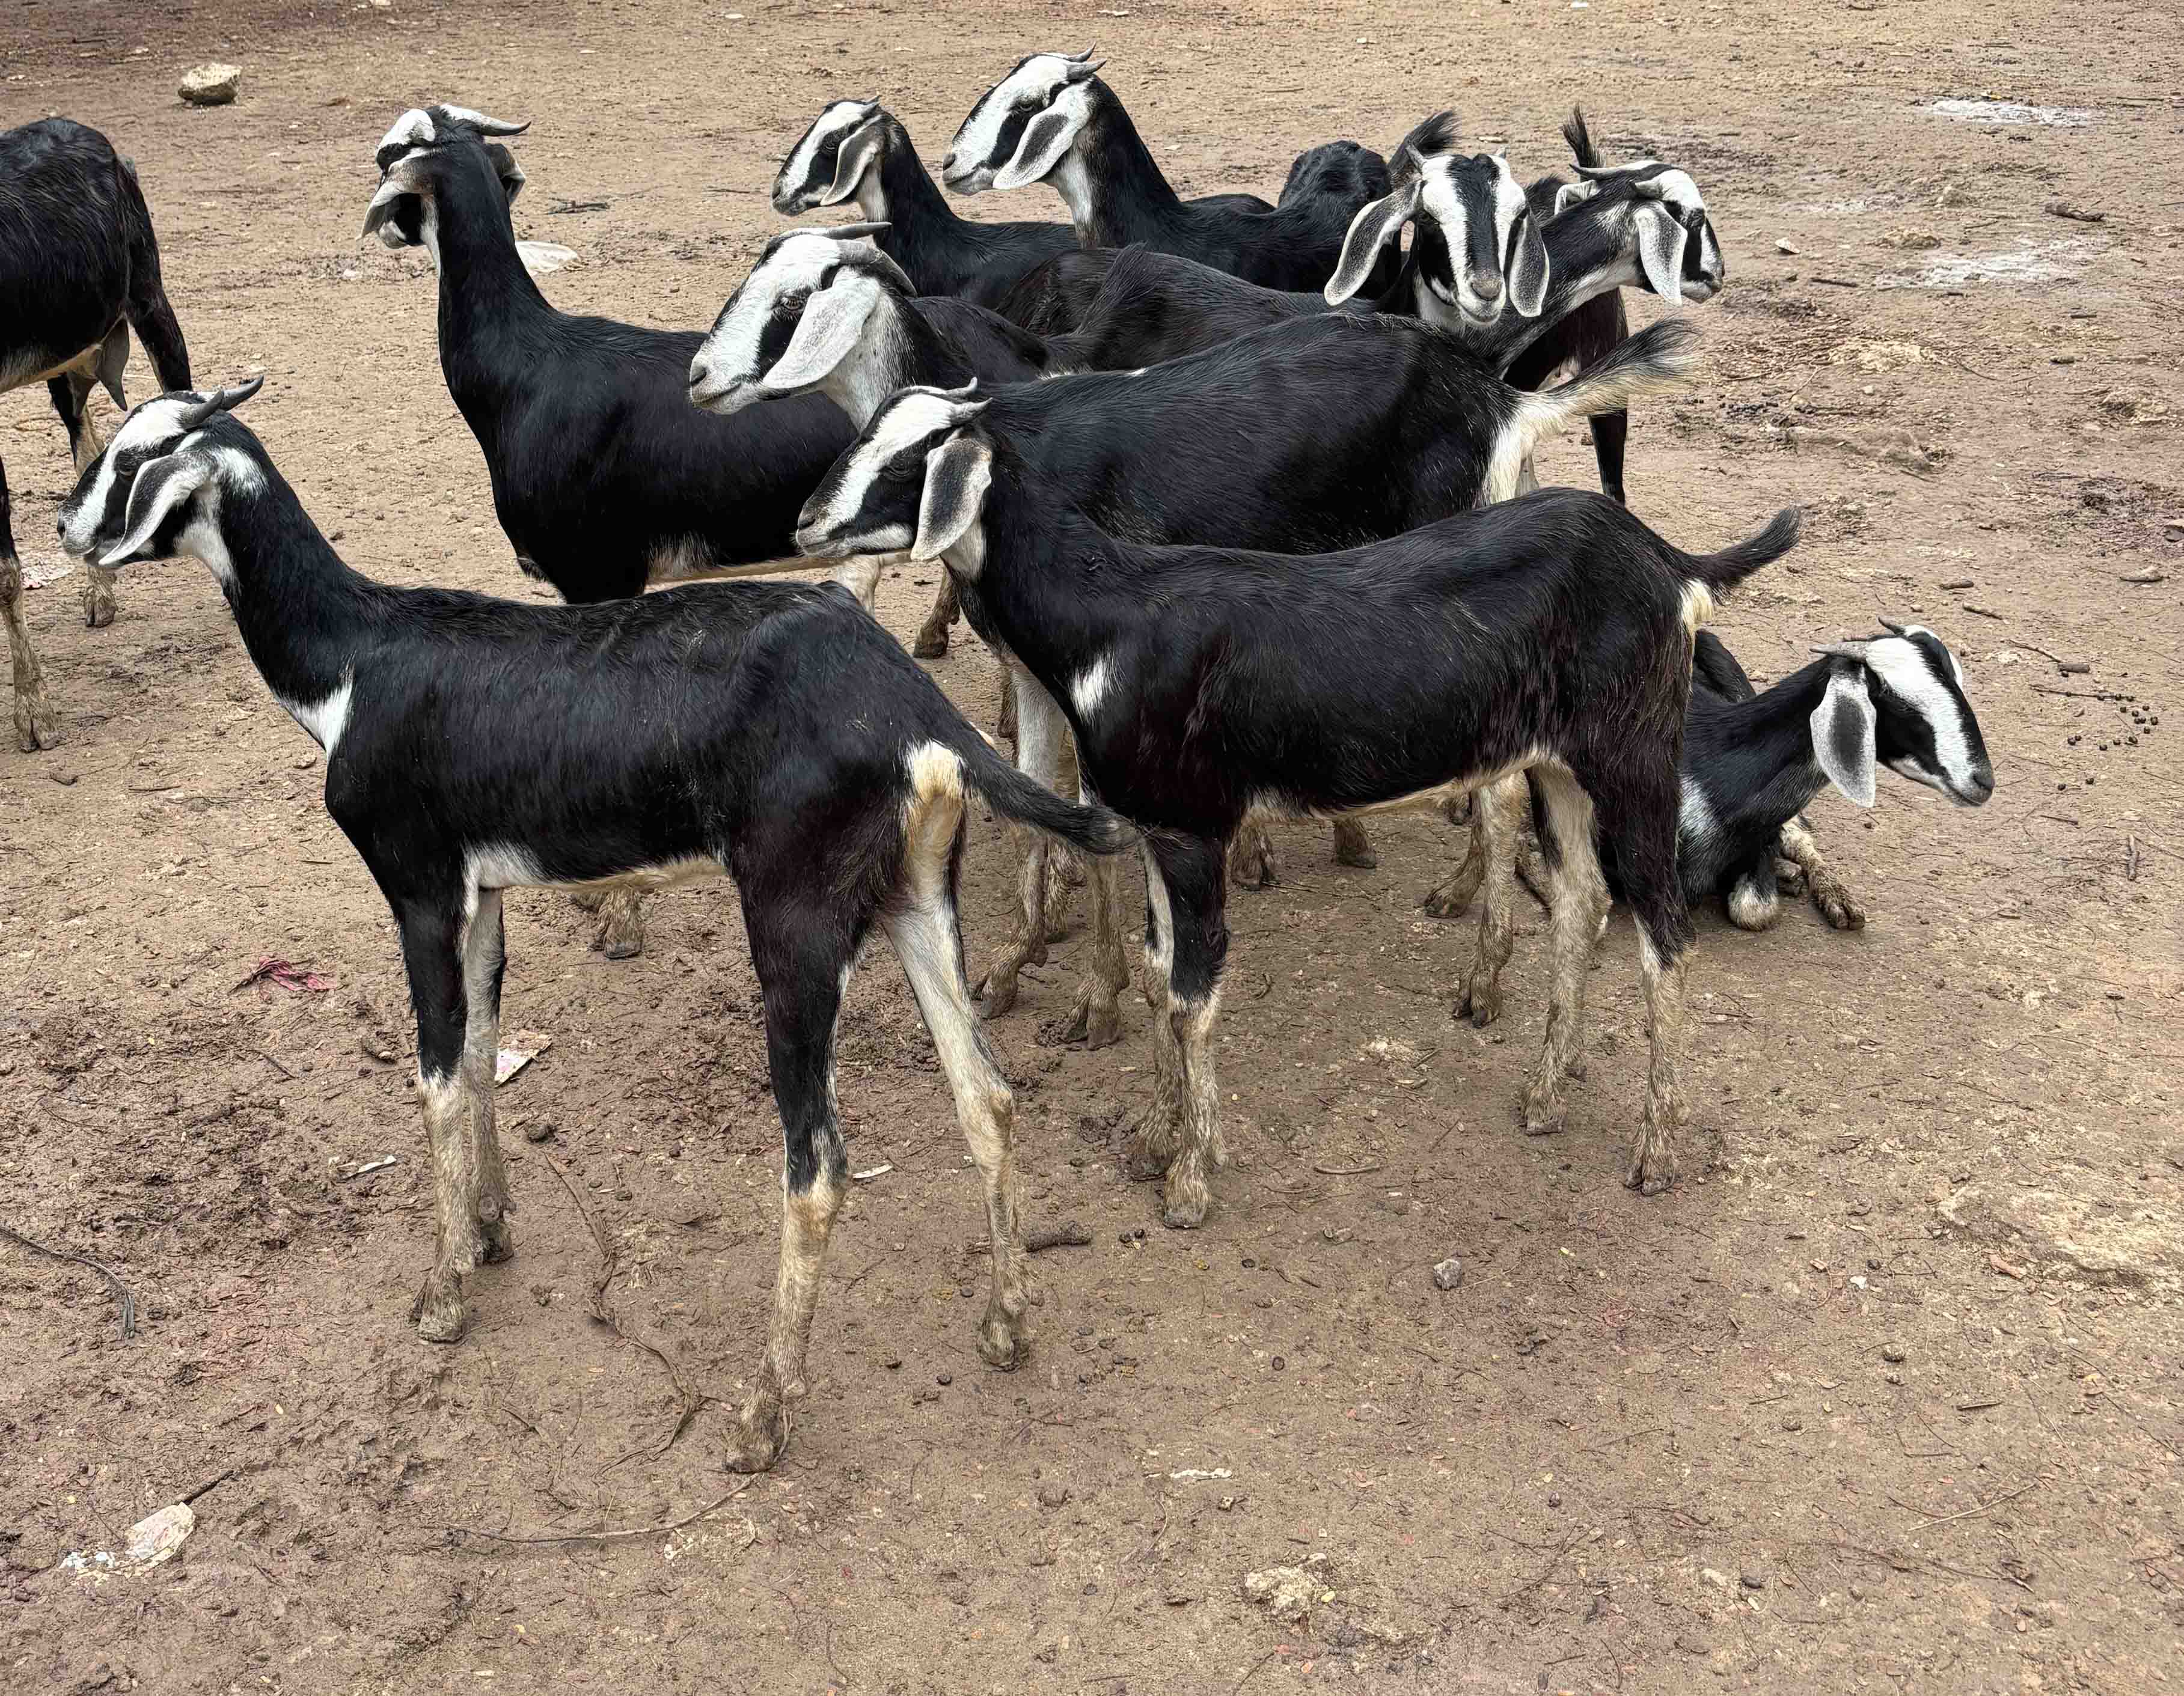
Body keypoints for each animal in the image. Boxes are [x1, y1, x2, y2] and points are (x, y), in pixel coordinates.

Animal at [57, 379, 1135, 1473]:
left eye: (136, 458)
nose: (67, 528)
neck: (355, 662)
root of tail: (911, 709)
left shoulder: (419, 887)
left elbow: (437, 1078)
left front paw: (443, 1293)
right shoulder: (483, 893)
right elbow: (483, 1053)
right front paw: (491, 1226)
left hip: (794, 925)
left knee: (820, 1163)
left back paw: (762, 1411)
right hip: (917, 898)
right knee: (987, 1096)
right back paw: (1004, 1324)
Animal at [797, 387, 1800, 1216]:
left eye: (907, 464)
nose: (806, 523)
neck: (1111, 617)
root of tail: (1667, 560)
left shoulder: (1195, 827)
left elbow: (1193, 994)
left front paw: (1190, 1179)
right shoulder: (1154, 829)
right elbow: (1160, 976)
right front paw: (1154, 1136)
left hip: (1635, 754)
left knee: (1665, 935)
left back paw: (1654, 1150)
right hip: (1557, 763)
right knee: (1584, 901)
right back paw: (1546, 1093)